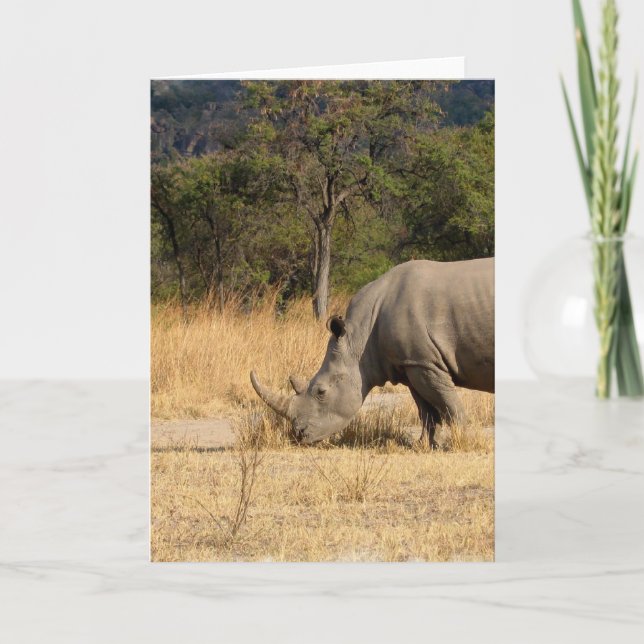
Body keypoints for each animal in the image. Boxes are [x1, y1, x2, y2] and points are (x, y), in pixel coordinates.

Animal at [250, 258, 494, 446]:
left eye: (321, 392)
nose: (299, 435)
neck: (358, 340)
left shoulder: (424, 362)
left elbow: (448, 403)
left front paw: (462, 442)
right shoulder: (412, 363)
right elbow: (425, 409)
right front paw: (423, 445)